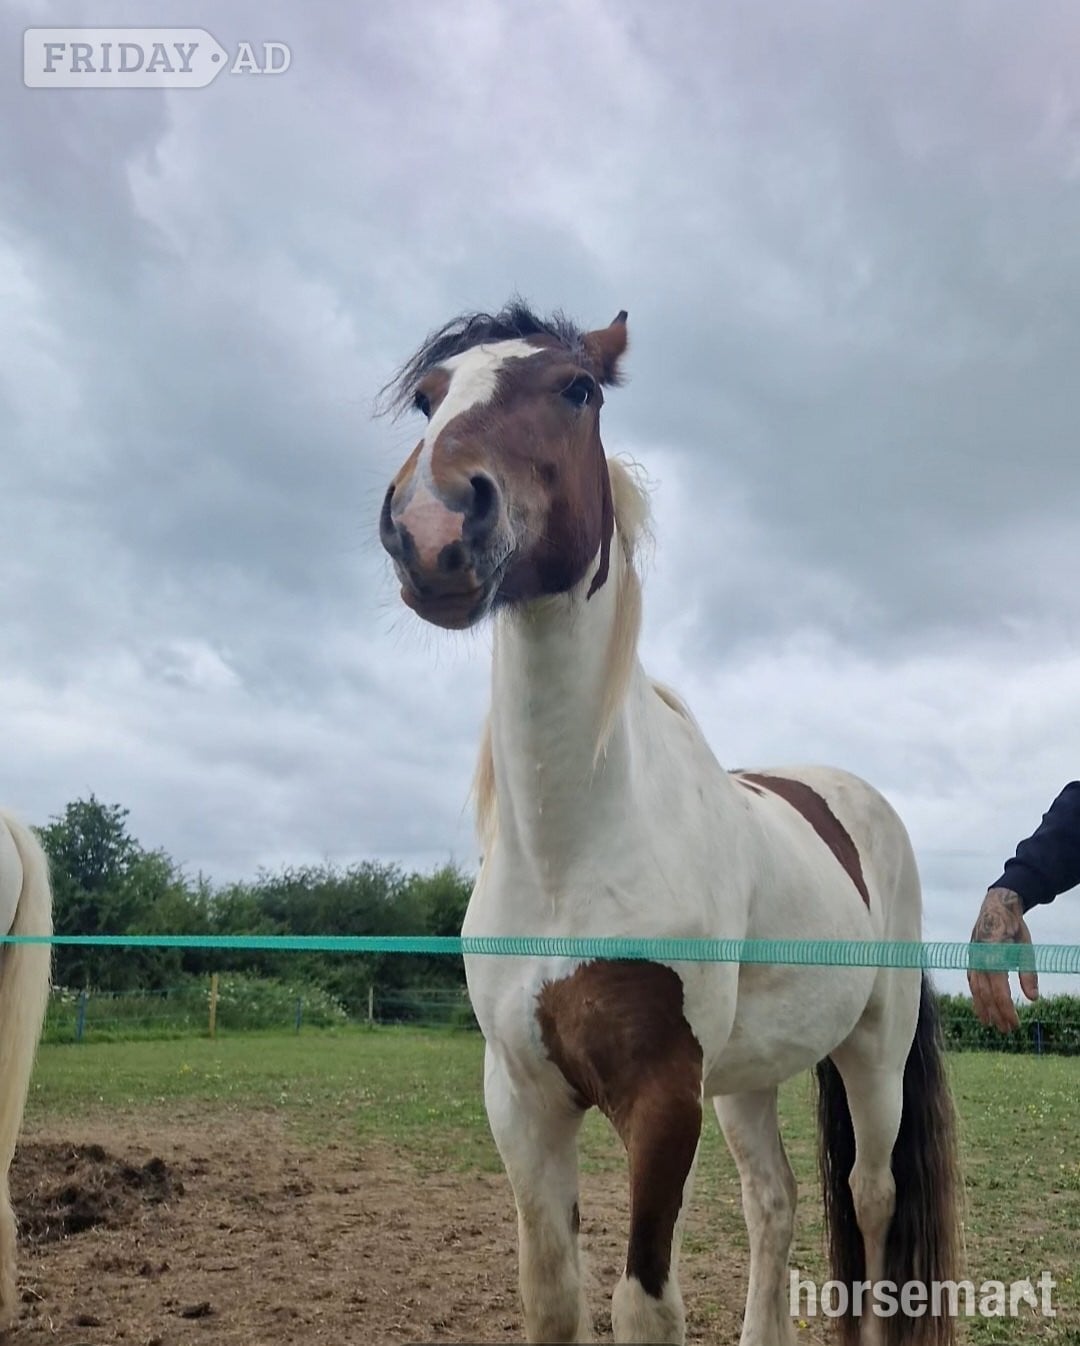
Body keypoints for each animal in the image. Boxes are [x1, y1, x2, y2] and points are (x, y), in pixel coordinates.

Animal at [377, 302, 962, 1346]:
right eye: (428, 396)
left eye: (578, 388)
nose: (431, 522)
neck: (571, 854)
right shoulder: (521, 1098)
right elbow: (554, 1302)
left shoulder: (660, 1100)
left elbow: (643, 1304)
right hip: (748, 1079)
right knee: (776, 1201)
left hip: (874, 1054)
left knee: (870, 1200)